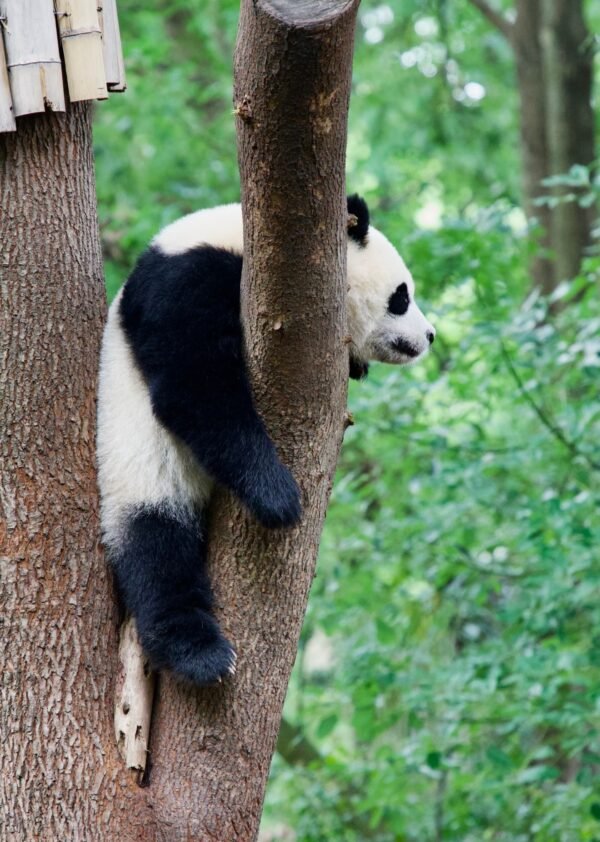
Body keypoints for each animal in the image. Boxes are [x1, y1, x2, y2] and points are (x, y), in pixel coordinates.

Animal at [96, 195, 435, 686]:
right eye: (402, 297)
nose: (429, 336)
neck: (244, 243)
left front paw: (356, 364)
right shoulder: (186, 279)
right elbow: (194, 387)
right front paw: (277, 497)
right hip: (138, 470)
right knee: (158, 551)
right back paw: (199, 654)